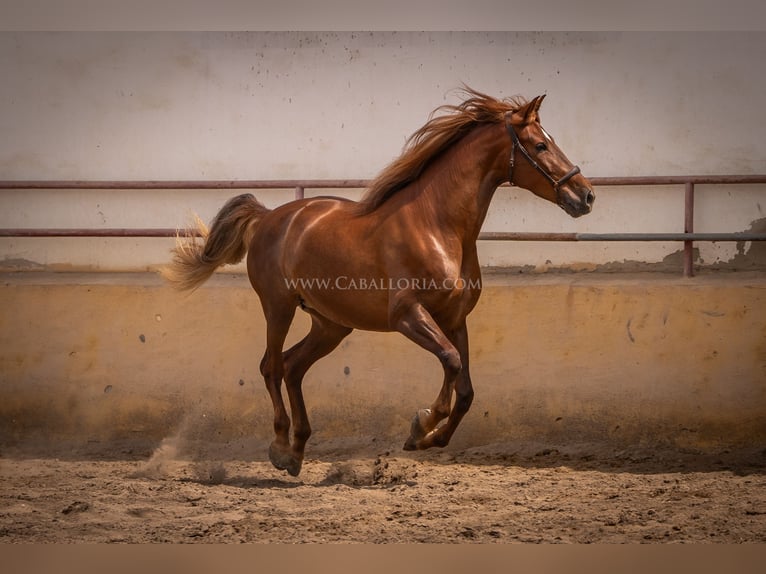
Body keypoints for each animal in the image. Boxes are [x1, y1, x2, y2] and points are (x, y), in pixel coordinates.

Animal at [164, 88, 592, 476]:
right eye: (540, 145)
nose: (585, 196)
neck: (437, 224)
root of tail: (268, 217)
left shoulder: (455, 319)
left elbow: (467, 390)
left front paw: (429, 439)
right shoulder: (407, 315)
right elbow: (451, 362)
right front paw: (421, 424)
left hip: (331, 324)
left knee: (292, 366)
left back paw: (298, 450)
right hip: (279, 308)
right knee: (270, 366)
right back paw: (281, 447)